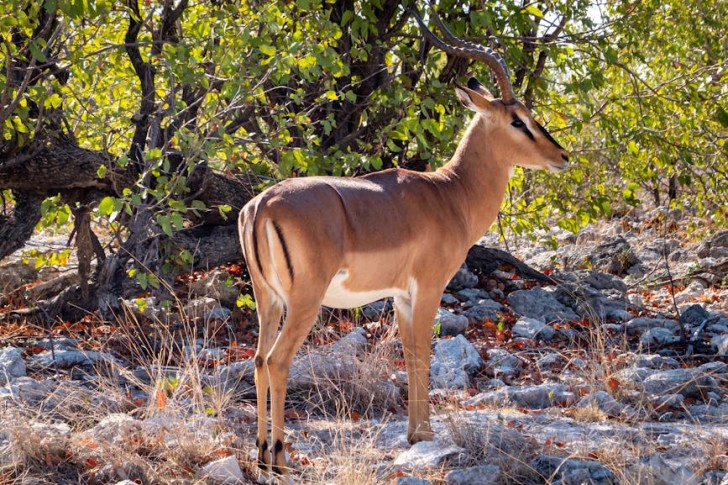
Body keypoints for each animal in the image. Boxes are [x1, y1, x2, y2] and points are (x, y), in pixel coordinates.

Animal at [239, 6, 569, 478]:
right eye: (517, 120)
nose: (562, 156)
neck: (450, 193)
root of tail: (262, 204)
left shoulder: (400, 297)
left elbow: (409, 354)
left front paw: (416, 433)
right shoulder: (429, 288)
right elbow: (423, 354)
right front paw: (426, 434)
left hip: (268, 300)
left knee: (258, 360)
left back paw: (261, 454)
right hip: (304, 302)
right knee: (278, 361)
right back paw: (281, 457)